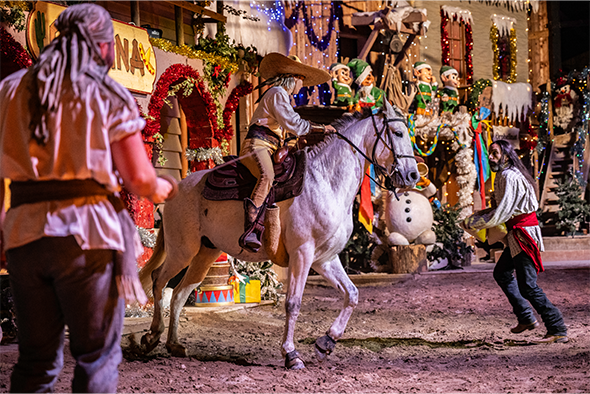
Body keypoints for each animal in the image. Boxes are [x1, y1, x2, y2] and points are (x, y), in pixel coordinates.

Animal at [140, 101, 418, 370]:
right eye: (398, 132)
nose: (413, 175)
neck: (325, 181)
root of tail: (176, 189)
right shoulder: (302, 254)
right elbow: (293, 303)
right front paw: (291, 355)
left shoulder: (325, 259)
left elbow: (352, 294)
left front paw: (325, 343)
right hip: (182, 250)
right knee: (158, 280)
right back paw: (151, 336)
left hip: (205, 254)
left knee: (179, 293)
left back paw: (174, 344)